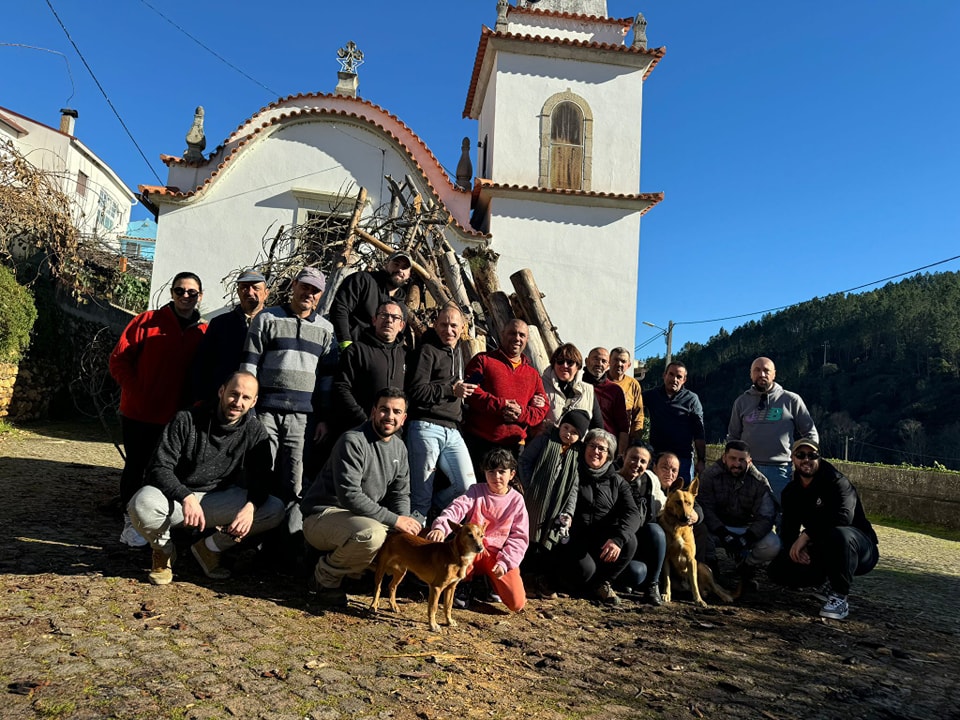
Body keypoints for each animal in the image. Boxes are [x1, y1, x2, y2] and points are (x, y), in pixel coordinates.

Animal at [660, 478, 736, 608]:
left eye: (689, 503)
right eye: (678, 502)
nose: (687, 518)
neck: (678, 528)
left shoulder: (691, 560)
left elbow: (694, 583)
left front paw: (699, 600)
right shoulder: (666, 559)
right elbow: (667, 579)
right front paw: (666, 594)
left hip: (702, 567)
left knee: (715, 587)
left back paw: (725, 597)